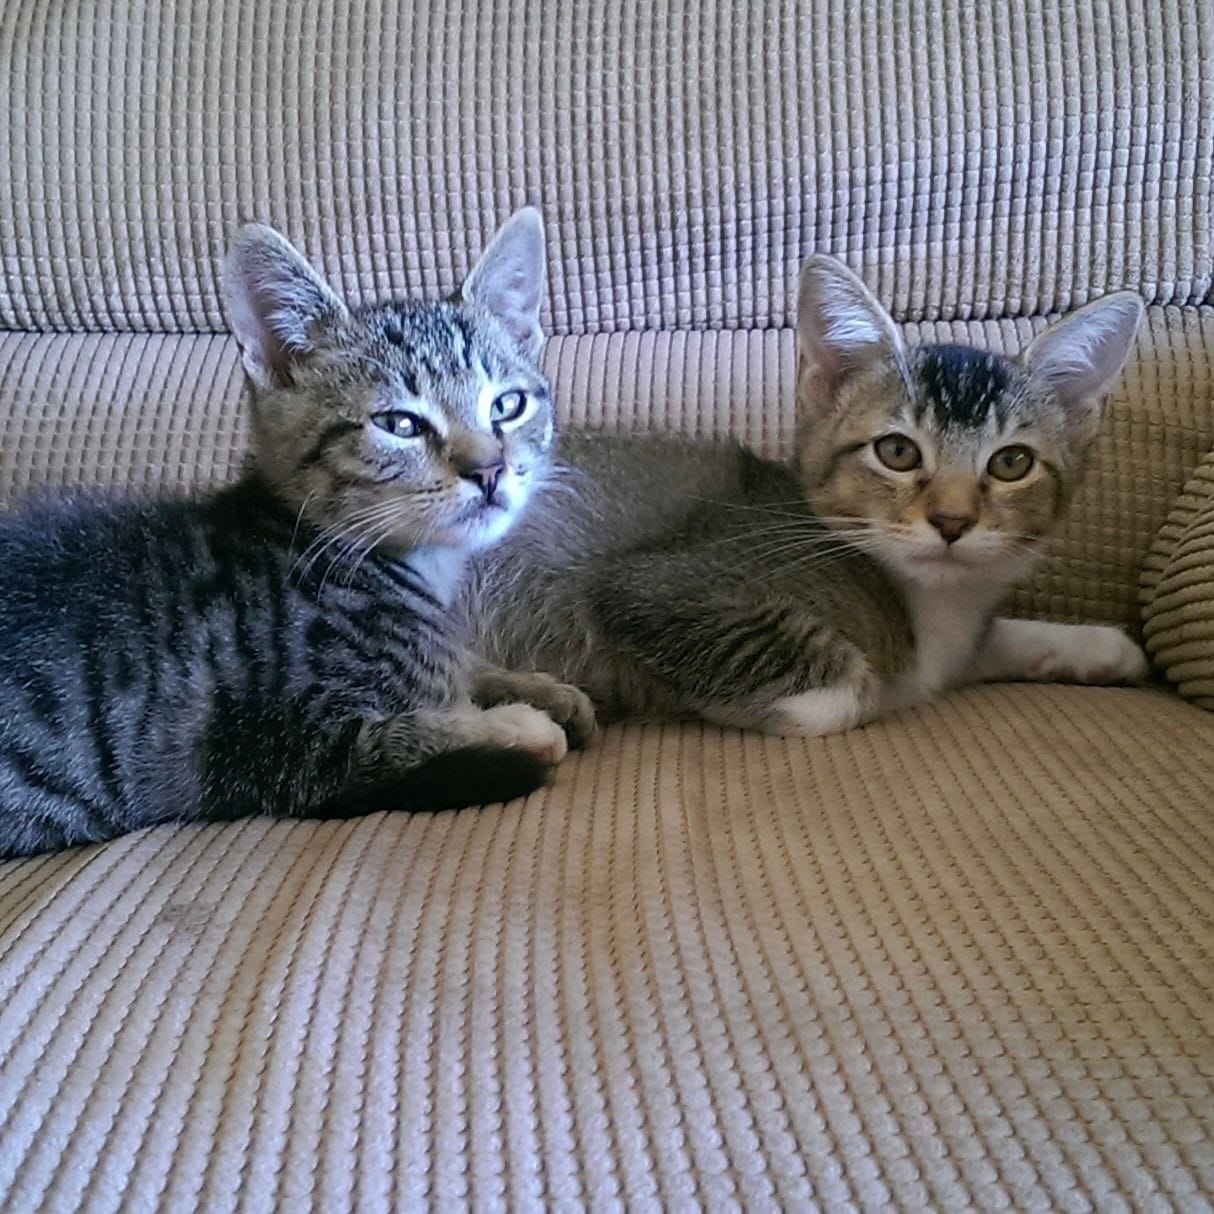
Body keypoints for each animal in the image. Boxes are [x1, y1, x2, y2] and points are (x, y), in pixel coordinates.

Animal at [0, 203, 587, 859]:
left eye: (508, 406)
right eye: (400, 424)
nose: (488, 470)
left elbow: (463, 666)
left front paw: (543, 689)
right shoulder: (264, 753)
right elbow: (409, 733)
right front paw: (514, 722)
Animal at [466, 251, 1146, 733]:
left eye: (1011, 463)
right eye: (897, 452)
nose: (952, 521)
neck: (930, 603)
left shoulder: (957, 640)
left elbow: (982, 644)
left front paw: (1099, 646)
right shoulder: (649, 589)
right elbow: (854, 687)